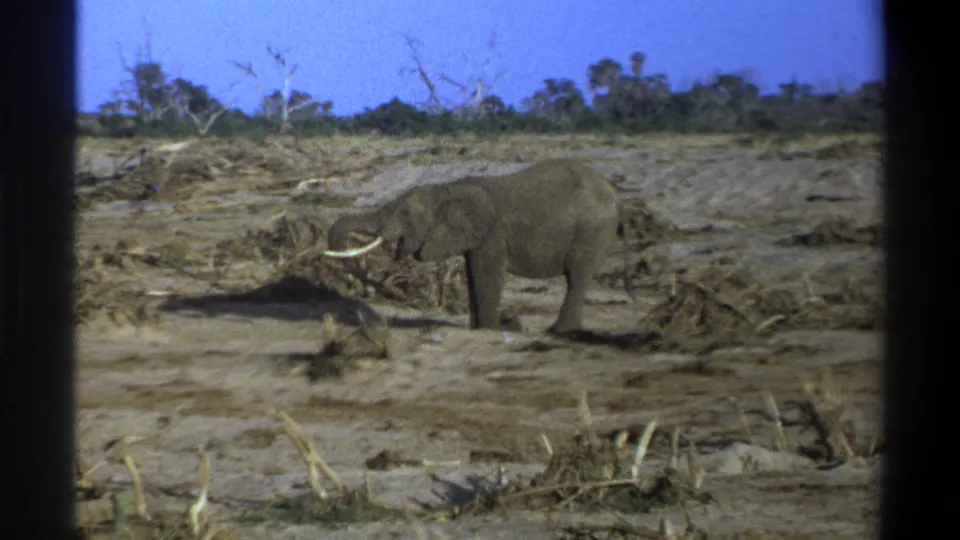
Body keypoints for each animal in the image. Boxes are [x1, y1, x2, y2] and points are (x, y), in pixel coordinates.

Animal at [323, 158, 633, 336]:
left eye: (405, 214)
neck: (447, 189)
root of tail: (616, 196)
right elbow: (473, 274)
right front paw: (479, 328)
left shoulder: (492, 234)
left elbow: (487, 275)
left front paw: (491, 329)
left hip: (591, 231)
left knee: (577, 276)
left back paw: (558, 332)